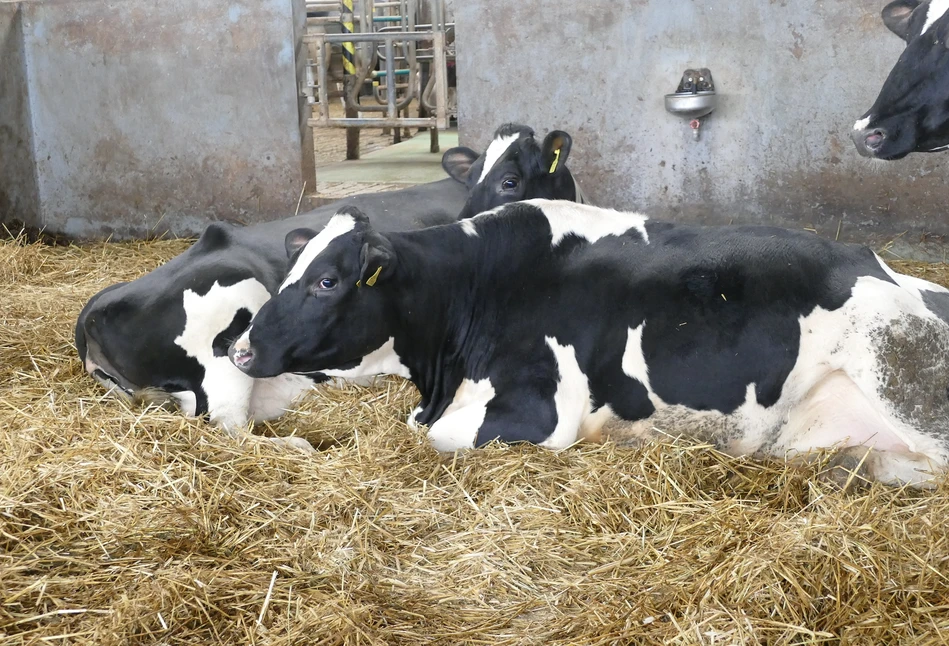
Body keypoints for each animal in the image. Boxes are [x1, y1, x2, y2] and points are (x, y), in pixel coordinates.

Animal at [228, 202, 948, 486]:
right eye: (290, 271)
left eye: (325, 281)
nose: (239, 351)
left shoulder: (538, 410)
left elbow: (432, 437)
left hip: (902, 371)